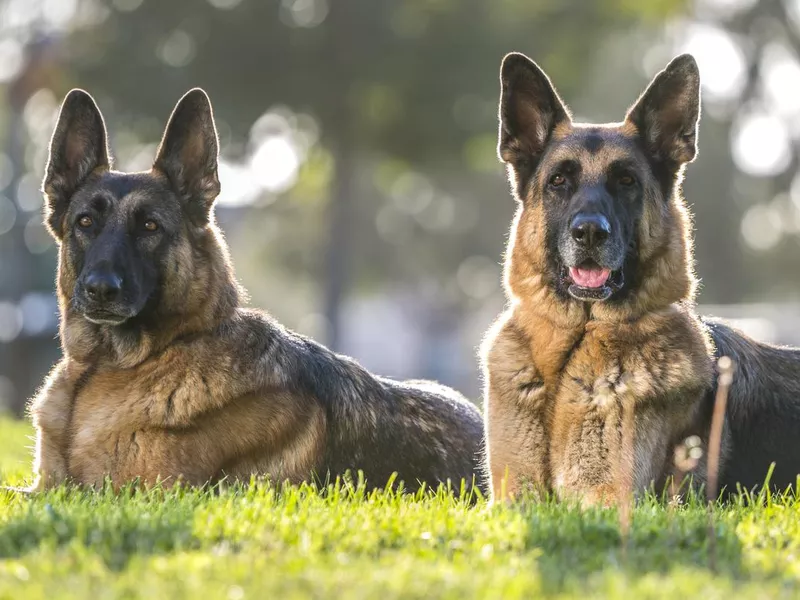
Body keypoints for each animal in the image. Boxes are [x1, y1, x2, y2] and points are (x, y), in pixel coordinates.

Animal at [482, 51, 800, 504]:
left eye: (626, 181)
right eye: (558, 181)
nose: (590, 233)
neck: (577, 340)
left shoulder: (605, 495)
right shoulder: (509, 496)